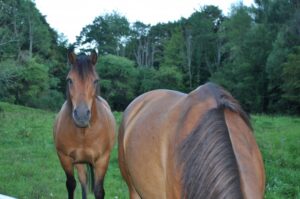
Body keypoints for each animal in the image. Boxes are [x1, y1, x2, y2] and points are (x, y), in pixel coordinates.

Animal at [53, 50, 115, 199]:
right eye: (69, 80)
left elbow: (99, 191)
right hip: (80, 163)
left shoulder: (102, 160)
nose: (81, 115)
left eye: (95, 80)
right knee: (83, 183)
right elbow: (71, 185)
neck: (83, 134)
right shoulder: (65, 158)